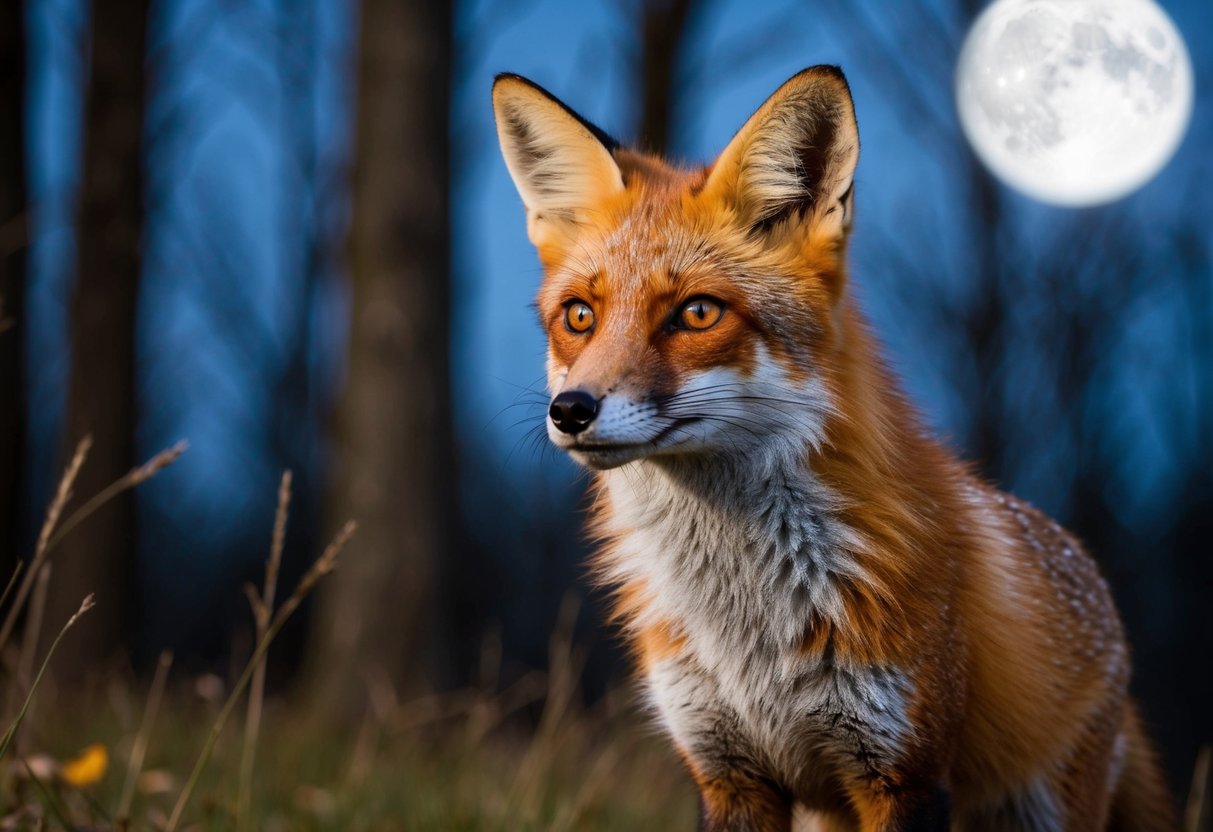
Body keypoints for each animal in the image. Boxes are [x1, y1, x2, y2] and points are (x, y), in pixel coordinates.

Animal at [491, 66, 1174, 831]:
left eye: (697, 313)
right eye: (579, 316)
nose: (570, 411)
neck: (746, 628)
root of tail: (1091, 578)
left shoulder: (903, 772)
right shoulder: (726, 772)